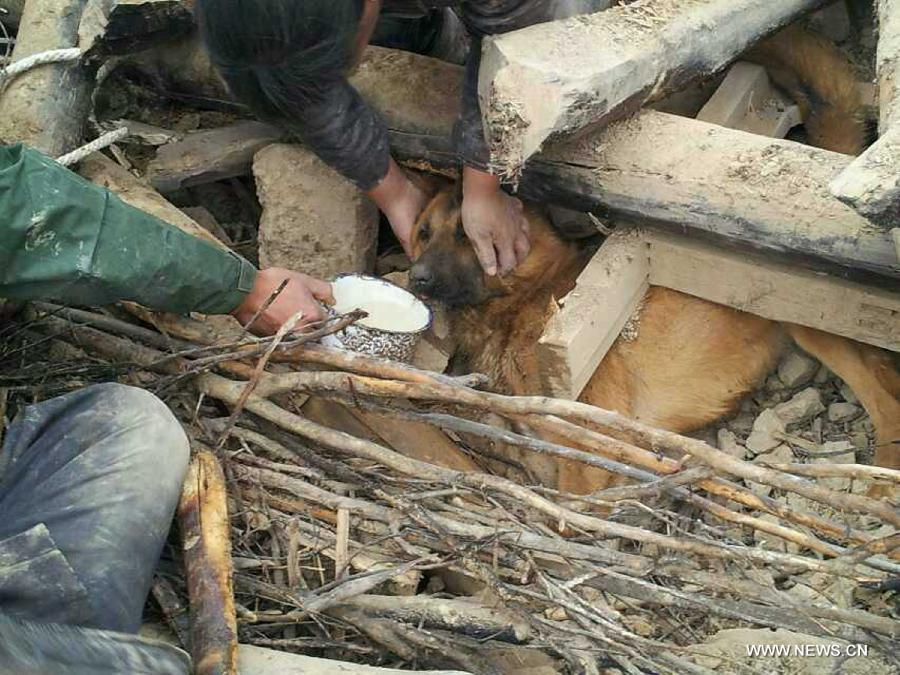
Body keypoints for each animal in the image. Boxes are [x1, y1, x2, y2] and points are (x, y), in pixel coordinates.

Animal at [410, 25, 900, 496]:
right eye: (423, 233)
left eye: (467, 234)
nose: (417, 278)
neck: (526, 296)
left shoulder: (592, 438)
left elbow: (564, 506)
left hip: (809, 322)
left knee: (885, 396)